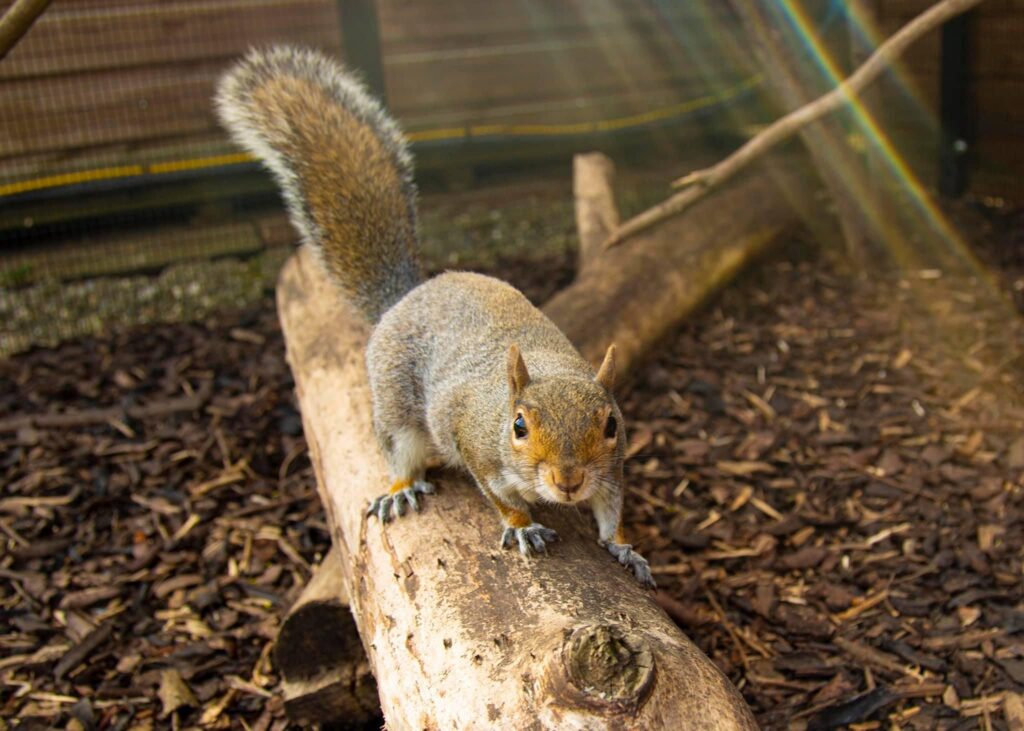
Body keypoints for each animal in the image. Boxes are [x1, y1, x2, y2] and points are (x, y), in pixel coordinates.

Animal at [216, 46, 654, 588]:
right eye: (519, 426)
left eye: (611, 424)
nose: (568, 481)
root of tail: (407, 297)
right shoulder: (476, 447)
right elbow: (500, 498)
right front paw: (522, 525)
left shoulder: (612, 471)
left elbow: (611, 511)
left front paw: (624, 547)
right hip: (395, 407)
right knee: (399, 451)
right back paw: (402, 487)